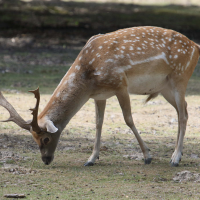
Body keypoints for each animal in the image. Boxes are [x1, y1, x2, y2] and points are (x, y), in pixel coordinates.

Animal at [0, 26, 200, 167]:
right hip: (166, 87)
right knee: (183, 110)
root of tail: (196, 46)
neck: (88, 77)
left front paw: (147, 156)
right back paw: (175, 154)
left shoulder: (120, 84)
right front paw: (91, 159)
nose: (46, 160)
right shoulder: (99, 95)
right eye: (33, 139)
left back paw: (175, 158)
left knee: (183, 115)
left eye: (45, 138)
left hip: (180, 77)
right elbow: (98, 123)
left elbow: (128, 119)